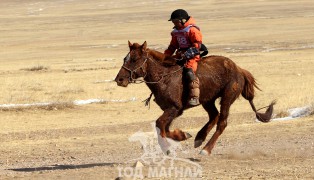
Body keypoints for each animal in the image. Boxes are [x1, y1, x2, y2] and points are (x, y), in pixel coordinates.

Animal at [115, 40, 274, 155]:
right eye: (125, 58)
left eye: (134, 59)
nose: (119, 79)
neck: (164, 76)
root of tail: (239, 69)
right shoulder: (174, 111)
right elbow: (165, 128)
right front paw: (183, 135)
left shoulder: (174, 108)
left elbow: (160, 124)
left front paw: (167, 148)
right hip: (208, 100)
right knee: (214, 116)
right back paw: (199, 138)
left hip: (227, 98)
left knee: (221, 123)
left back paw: (206, 149)